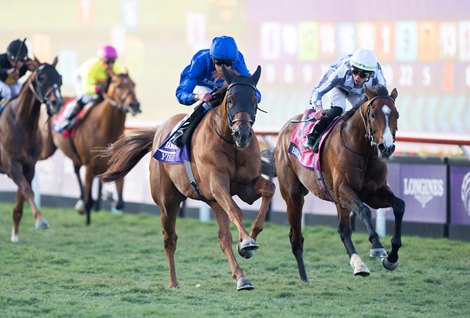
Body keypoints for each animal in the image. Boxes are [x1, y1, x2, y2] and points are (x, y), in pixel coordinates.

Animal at [0, 56, 63, 241]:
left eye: (60, 78)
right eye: (41, 78)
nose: (57, 103)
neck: (23, 124)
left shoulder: (29, 167)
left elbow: (21, 197)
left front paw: (15, 235)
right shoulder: (12, 166)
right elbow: (28, 191)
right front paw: (41, 220)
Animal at [48, 71, 141, 226]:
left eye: (134, 84)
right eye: (118, 86)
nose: (134, 104)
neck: (105, 128)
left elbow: (120, 201)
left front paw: (108, 196)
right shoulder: (90, 165)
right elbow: (89, 200)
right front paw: (88, 218)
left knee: (76, 171)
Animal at [99, 65, 276, 290]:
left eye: (255, 100)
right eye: (230, 99)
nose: (242, 134)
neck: (229, 142)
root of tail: (158, 132)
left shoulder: (245, 187)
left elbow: (269, 189)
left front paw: (249, 240)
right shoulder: (217, 185)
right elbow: (236, 209)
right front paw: (246, 241)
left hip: (213, 202)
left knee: (223, 238)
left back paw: (241, 277)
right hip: (168, 202)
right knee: (170, 239)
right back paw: (173, 282)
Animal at [262, 85, 406, 280]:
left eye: (396, 115)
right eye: (373, 114)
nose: (387, 148)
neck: (363, 151)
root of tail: (285, 129)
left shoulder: (373, 193)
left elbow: (399, 205)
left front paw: (392, 258)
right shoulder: (343, 190)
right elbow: (364, 210)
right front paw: (377, 246)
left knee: (342, 229)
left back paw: (358, 264)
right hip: (293, 195)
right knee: (297, 238)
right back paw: (305, 279)